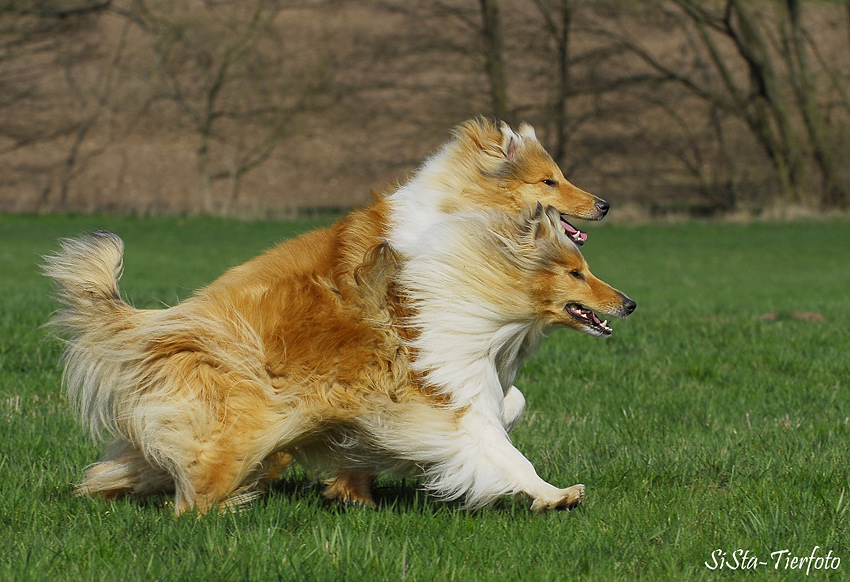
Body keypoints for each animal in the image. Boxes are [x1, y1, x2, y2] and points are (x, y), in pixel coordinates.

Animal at [46, 118, 628, 516]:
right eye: (550, 181)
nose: (603, 204)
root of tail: (160, 324)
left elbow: (507, 402)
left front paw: (353, 487)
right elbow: (496, 438)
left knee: (132, 467)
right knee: (194, 489)